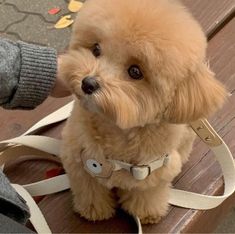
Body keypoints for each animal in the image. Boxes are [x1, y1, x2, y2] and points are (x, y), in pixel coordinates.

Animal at [60, 0, 226, 224]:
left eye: (135, 72)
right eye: (96, 49)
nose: (88, 83)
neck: (115, 132)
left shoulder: (155, 174)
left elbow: (147, 195)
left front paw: (146, 213)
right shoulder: (78, 163)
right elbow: (90, 190)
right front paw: (94, 210)